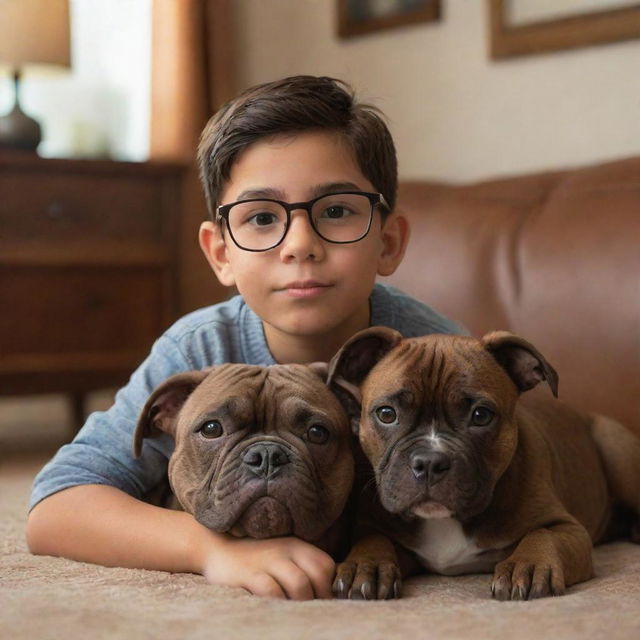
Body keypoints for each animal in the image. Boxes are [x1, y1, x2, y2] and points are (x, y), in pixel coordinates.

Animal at [328, 330, 640, 600]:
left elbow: (542, 535)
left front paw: (526, 566)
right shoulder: (380, 530)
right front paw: (366, 565)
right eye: (386, 414)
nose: (429, 462)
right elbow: (373, 540)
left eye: (481, 416)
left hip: (617, 451)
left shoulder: (568, 529)